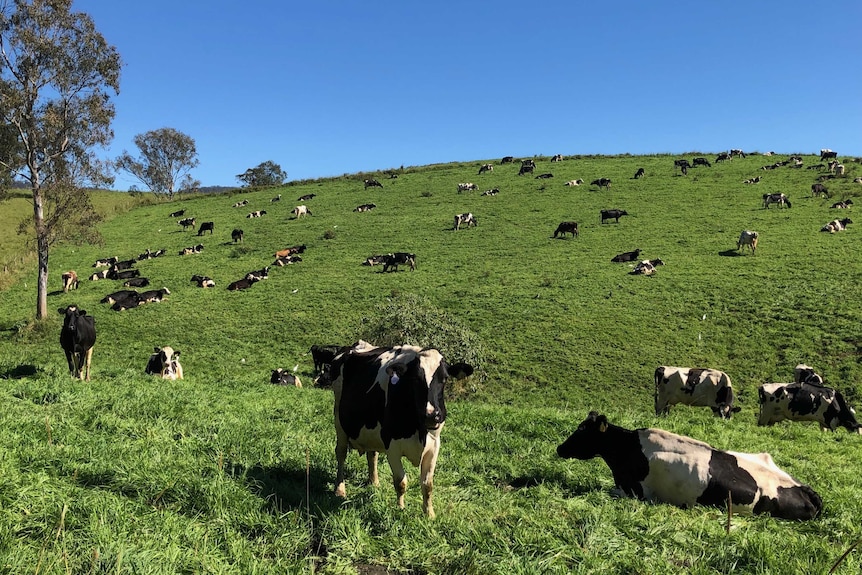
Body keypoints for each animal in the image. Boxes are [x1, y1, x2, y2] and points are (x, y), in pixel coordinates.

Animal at [330, 340, 476, 520]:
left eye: (445, 378)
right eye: (415, 379)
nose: (432, 415)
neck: (420, 430)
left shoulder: (434, 445)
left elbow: (428, 484)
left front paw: (429, 514)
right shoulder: (391, 445)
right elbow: (400, 481)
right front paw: (400, 509)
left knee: (372, 454)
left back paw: (374, 482)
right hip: (339, 421)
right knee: (341, 453)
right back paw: (340, 489)